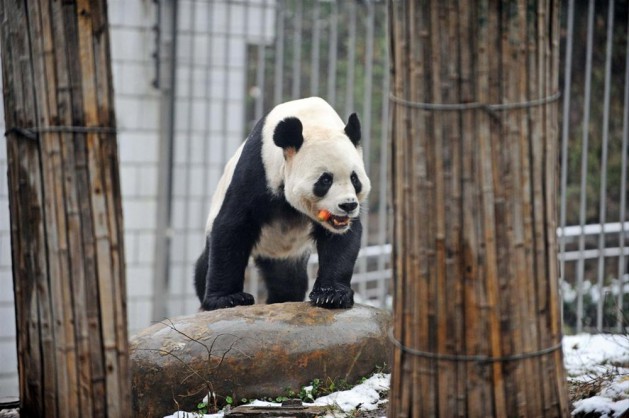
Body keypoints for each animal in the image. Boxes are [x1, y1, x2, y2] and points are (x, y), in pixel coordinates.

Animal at [194, 96, 370, 308]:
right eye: (325, 180)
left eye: (355, 179)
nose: (348, 205)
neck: (313, 121)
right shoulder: (258, 168)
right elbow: (232, 225)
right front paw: (227, 298)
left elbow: (342, 241)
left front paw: (332, 294)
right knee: (203, 266)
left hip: (286, 255)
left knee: (288, 281)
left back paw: (281, 300)